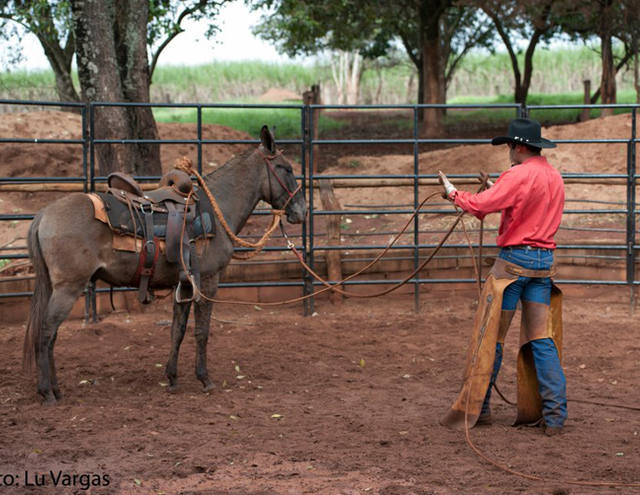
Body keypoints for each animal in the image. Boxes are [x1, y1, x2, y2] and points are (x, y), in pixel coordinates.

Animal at [23, 125, 307, 404]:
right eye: (286, 168)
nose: (302, 211)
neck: (216, 211)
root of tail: (44, 214)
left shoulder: (185, 284)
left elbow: (177, 330)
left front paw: (172, 378)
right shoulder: (208, 281)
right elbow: (202, 331)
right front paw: (205, 379)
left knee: (50, 335)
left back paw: (55, 389)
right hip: (68, 288)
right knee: (46, 332)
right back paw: (47, 393)